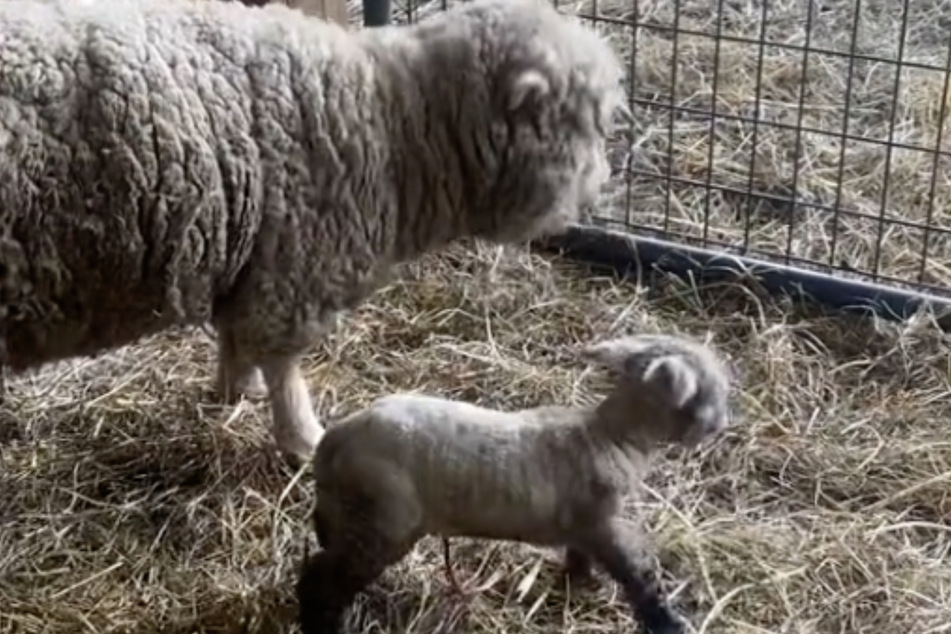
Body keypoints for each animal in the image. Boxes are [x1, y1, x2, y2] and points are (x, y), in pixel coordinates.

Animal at [0, 0, 628, 462]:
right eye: (588, 123)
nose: (601, 185)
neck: (395, 125)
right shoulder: (294, 268)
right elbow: (284, 368)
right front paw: (304, 440)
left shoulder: (251, 258)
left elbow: (234, 336)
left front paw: (235, 389)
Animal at [298, 330, 736, 632]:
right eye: (710, 391)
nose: (723, 424)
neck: (611, 436)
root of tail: (334, 441)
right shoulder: (605, 522)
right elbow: (638, 574)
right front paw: (666, 621)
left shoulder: (585, 526)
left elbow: (580, 553)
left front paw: (580, 581)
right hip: (386, 517)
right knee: (324, 575)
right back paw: (325, 623)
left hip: (351, 510)